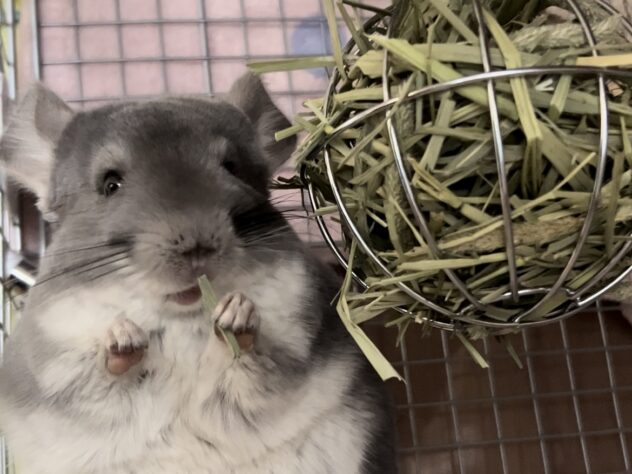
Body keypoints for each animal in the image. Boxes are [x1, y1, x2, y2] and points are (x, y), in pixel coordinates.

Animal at [0, 73, 397, 474]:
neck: (181, 317)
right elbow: (106, 373)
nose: (196, 245)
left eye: (232, 168)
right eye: (110, 184)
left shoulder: (295, 337)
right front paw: (122, 336)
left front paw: (237, 316)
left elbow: (254, 364)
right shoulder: (61, 367)